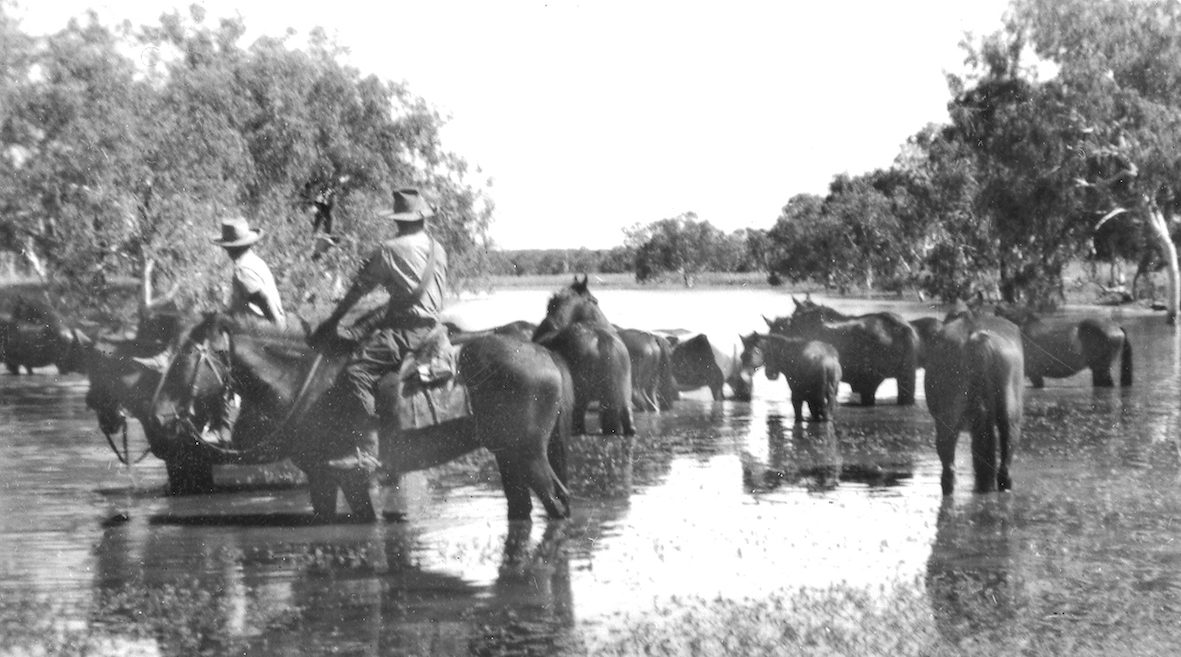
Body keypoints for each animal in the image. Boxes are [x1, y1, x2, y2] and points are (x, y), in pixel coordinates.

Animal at [150, 312, 574, 522]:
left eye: (187, 357)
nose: (158, 417)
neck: (304, 383)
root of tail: (544, 353)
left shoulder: (347, 475)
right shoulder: (322, 477)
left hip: (531, 455)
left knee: (557, 503)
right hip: (508, 454)